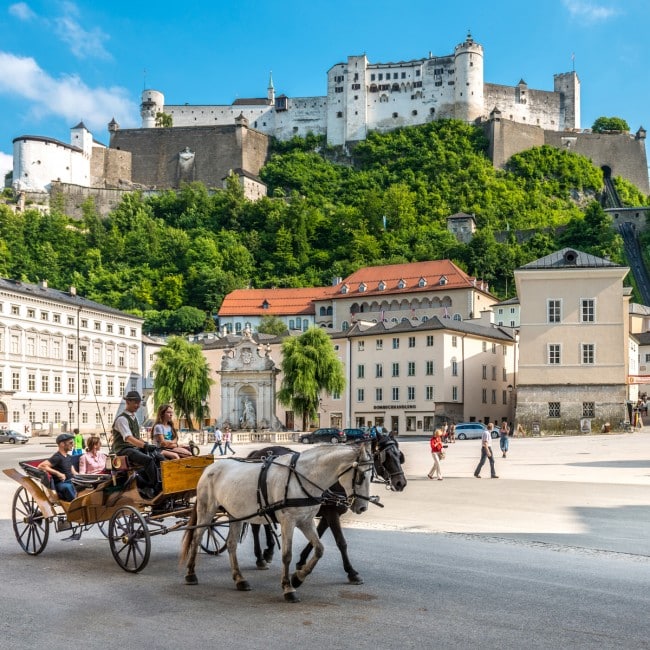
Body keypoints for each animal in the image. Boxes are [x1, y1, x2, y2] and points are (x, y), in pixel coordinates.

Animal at [180, 442, 372, 600]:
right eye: (361, 477)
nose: (363, 507)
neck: (303, 477)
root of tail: (210, 467)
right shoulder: (289, 521)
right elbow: (287, 555)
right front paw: (288, 587)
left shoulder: (306, 521)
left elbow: (319, 549)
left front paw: (298, 577)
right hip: (206, 510)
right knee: (197, 537)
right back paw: (190, 573)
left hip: (235, 513)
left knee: (231, 544)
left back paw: (240, 579)